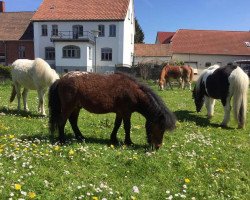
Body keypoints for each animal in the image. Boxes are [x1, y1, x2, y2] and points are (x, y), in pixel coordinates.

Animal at [48, 71, 176, 148]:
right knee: (62, 122)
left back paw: (81, 137)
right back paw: (62, 140)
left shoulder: (120, 112)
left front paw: (113, 139)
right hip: (68, 107)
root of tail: (61, 79)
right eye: (160, 128)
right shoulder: (126, 112)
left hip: (76, 107)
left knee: (73, 121)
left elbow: (117, 125)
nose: (158, 147)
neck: (133, 92)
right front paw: (128, 142)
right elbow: (127, 127)